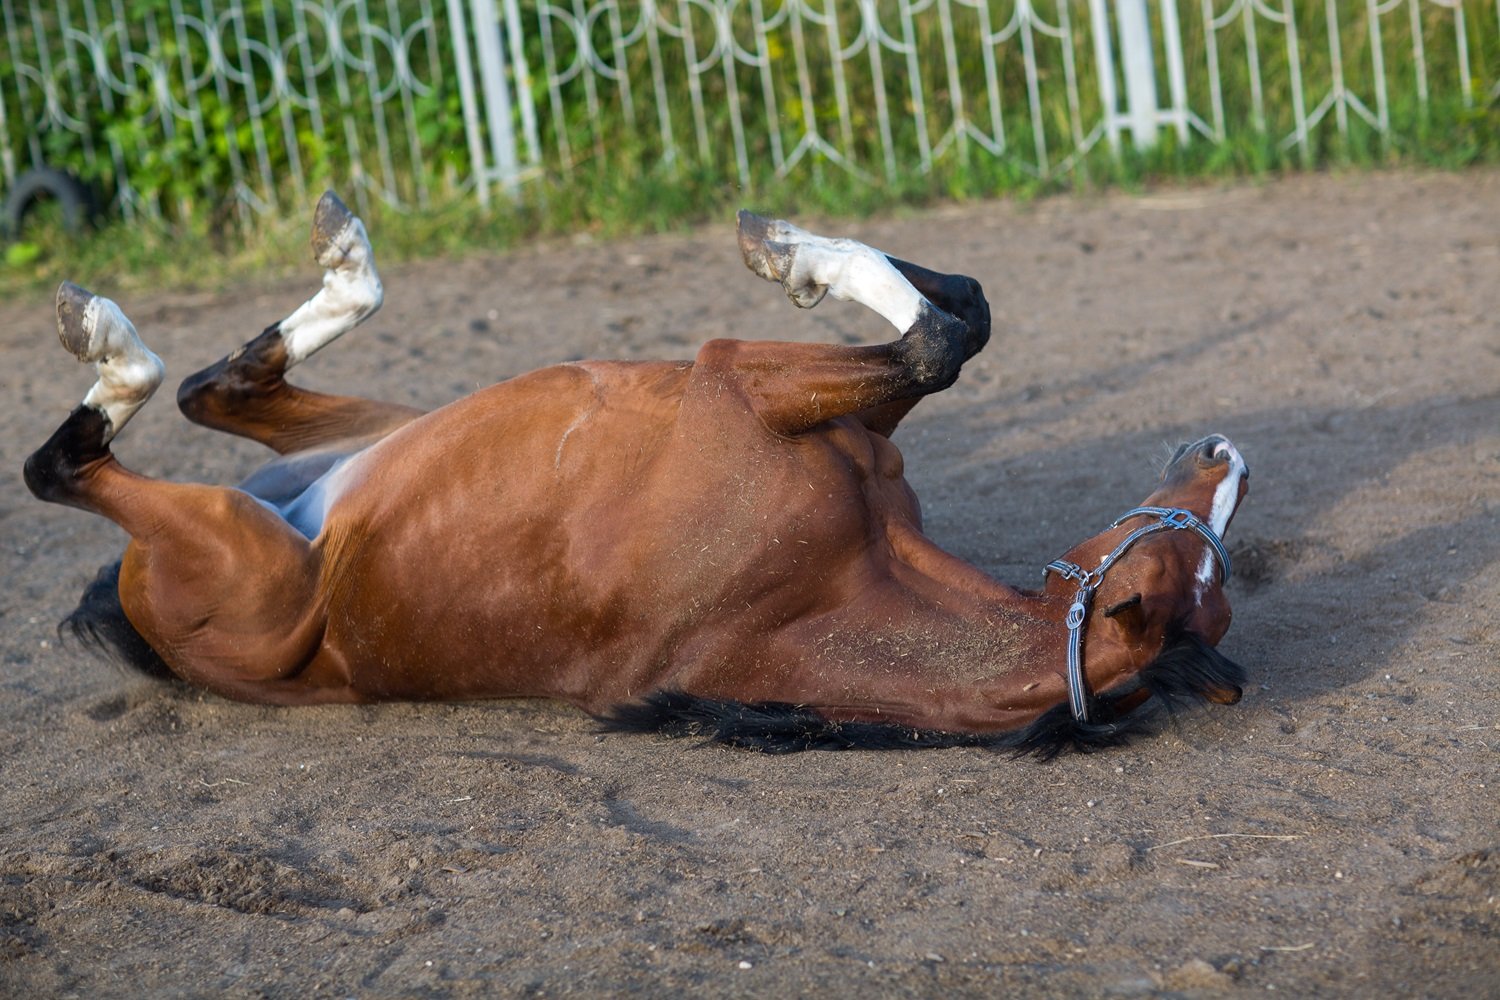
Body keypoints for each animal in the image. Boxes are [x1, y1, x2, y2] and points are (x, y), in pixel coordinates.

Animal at [24, 192, 1249, 757]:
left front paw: (789, 251)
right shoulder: (815, 404)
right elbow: (964, 318)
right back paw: (335, 256)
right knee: (208, 394)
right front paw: (797, 244)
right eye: (1183, 555)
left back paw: (120, 333)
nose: (1219, 451)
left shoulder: (737, 378)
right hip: (380, 437)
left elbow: (940, 339)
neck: (827, 585)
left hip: (243, 538)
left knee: (87, 452)